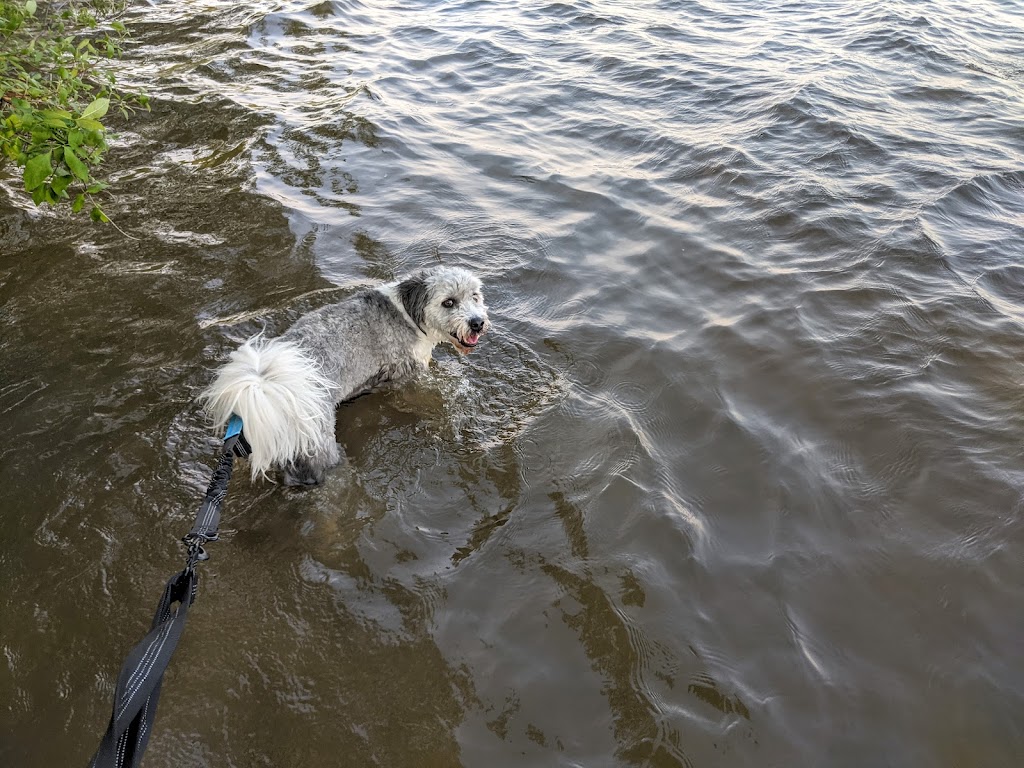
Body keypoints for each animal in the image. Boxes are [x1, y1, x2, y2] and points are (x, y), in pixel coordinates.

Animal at [200, 268, 491, 483]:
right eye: (448, 302)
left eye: (475, 296)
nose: (477, 322)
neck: (409, 314)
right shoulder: (406, 377)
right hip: (323, 452)